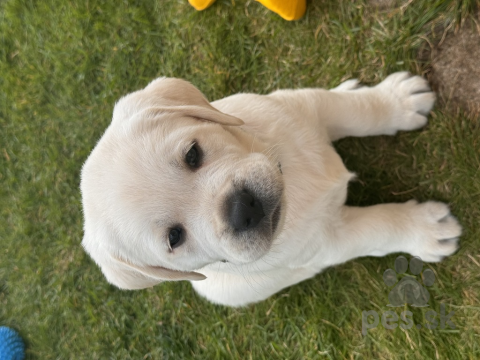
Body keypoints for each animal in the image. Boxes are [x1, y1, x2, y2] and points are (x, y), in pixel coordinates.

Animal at [79, 74, 462, 306]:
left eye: (192, 154)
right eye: (174, 238)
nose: (241, 209)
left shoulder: (305, 106)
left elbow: (355, 111)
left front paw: (398, 102)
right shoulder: (328, 241)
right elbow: (377, 228)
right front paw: (425, 230)